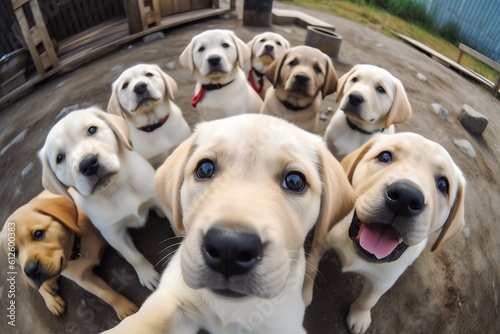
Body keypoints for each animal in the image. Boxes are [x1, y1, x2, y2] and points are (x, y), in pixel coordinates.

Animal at [0, 190, 138, 318]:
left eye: (38, 233)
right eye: (14, 252)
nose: (31, 270)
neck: (77, 248)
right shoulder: (83, 279)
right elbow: (105, 294)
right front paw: (123, 307)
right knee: (39, 287)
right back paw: (51, 300)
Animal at [39, 107, 164, 290]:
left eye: (92, 130)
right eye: (59, 158)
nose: (88, 164)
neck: (116, 189)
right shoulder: (112, 233)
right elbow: (133, 257)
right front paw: (147, 274)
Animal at [302, 133, 466, 334]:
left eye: (443, 184)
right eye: (384, 157)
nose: (405, 197)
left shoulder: (384, 280)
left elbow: (368, 301)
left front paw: (359, 315)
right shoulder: (321, 239)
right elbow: (311, 267)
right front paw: (304, 293)